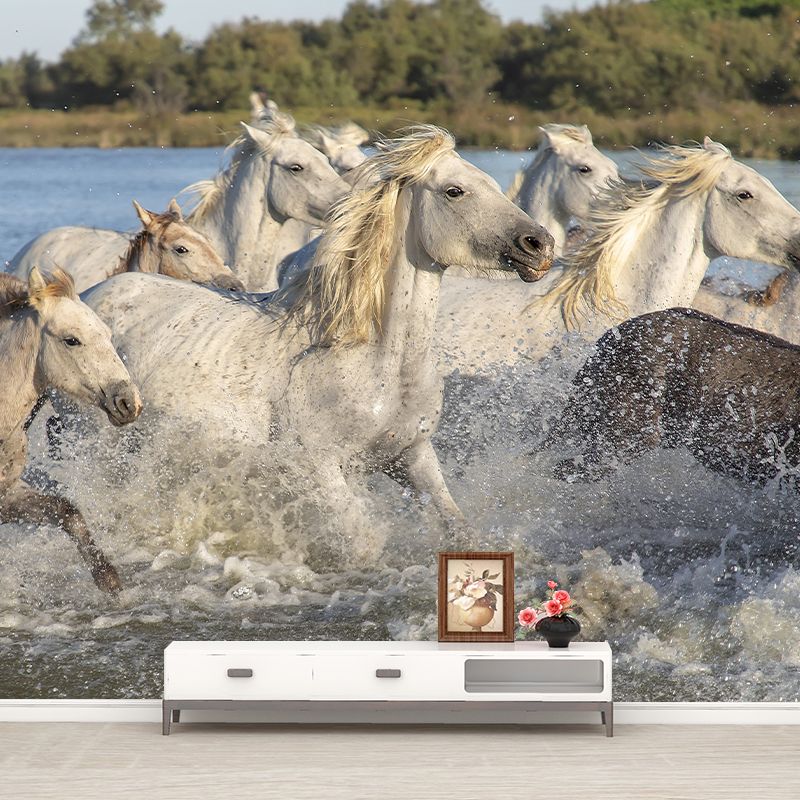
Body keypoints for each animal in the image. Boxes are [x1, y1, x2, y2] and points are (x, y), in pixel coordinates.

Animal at [0, 268, 141, 593]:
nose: (128, 402)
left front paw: (108, 578)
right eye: (71, 340)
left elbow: (67, 511)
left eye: (107, 335)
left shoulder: (7, 494)